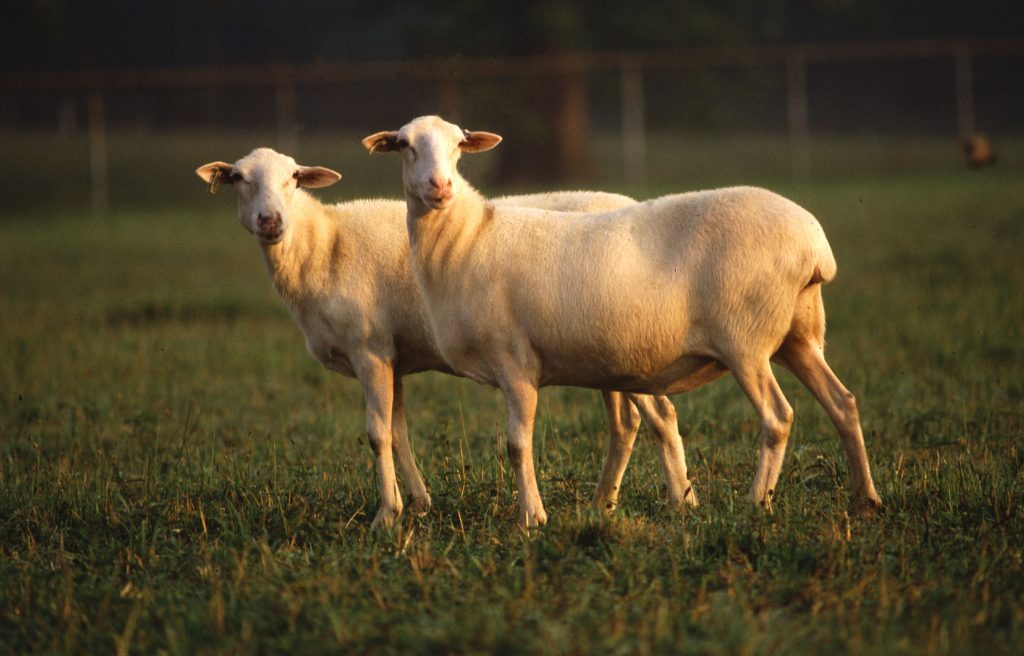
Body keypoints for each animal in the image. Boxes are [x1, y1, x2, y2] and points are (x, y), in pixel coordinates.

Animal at [195, 147, 693, 528]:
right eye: (238, 179)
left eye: (295, 179)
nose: (270, 221)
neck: (323, 246)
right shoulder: (394, 357)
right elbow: (398, 431)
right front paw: (418, 504)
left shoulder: (369, 350)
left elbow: (377, 434)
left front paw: (387, 516)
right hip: (607, 355)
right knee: (625, 424)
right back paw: (603, 505)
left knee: (660, 416)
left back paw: (680, 502)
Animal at [363, 115, 883, 528]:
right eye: (405, 145)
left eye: (458, 145)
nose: (440, 187)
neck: (467, 238)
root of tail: (815, 246)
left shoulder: (515, 361)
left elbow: (516, 445)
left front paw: (531, 518)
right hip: (800, 336)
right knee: (843, 404)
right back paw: (866, 501)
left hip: (746, 341)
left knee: (777, 417)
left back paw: (757, 504)